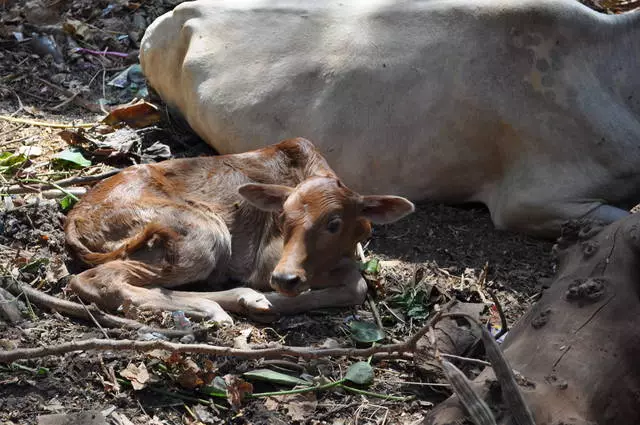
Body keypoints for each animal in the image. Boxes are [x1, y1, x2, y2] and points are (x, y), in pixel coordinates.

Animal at [63, 138, 416, 322]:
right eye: (282, 219)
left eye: (334, 223)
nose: (284, 279)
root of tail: (75, 221)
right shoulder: (266, 261)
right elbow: (357, 284)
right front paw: (271, 300)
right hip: (206, 235)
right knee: (97, 280)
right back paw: (221, 304)